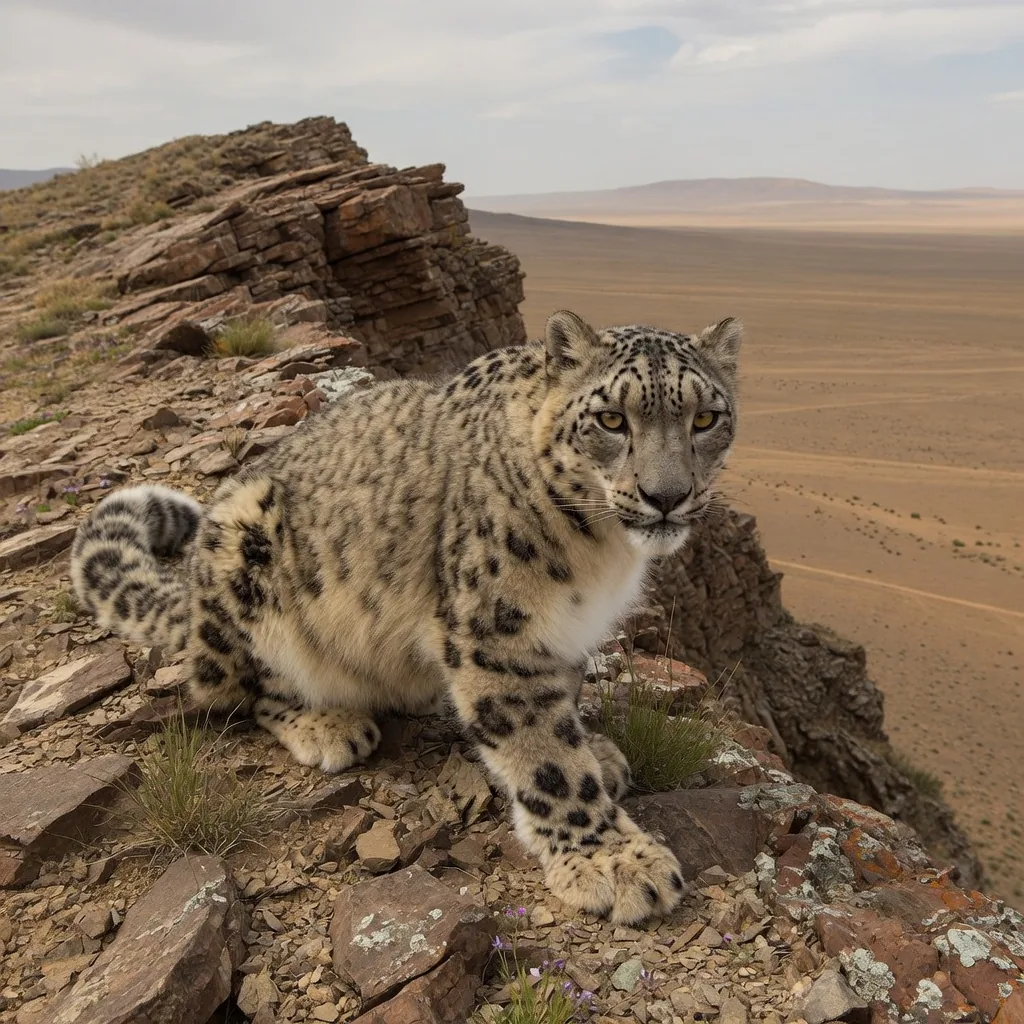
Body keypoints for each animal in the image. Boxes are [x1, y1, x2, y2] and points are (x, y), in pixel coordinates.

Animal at [71, 309, 742, 926]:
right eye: (611, 420)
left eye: (706, 418)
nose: (667, 496)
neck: (601, 555)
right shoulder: (498, 633)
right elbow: (547, 754)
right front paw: (613, 860)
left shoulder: (566, 633)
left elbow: (566, 701)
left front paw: (597, 753)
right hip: (243, 555)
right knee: (235, 689)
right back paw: (325, 723)